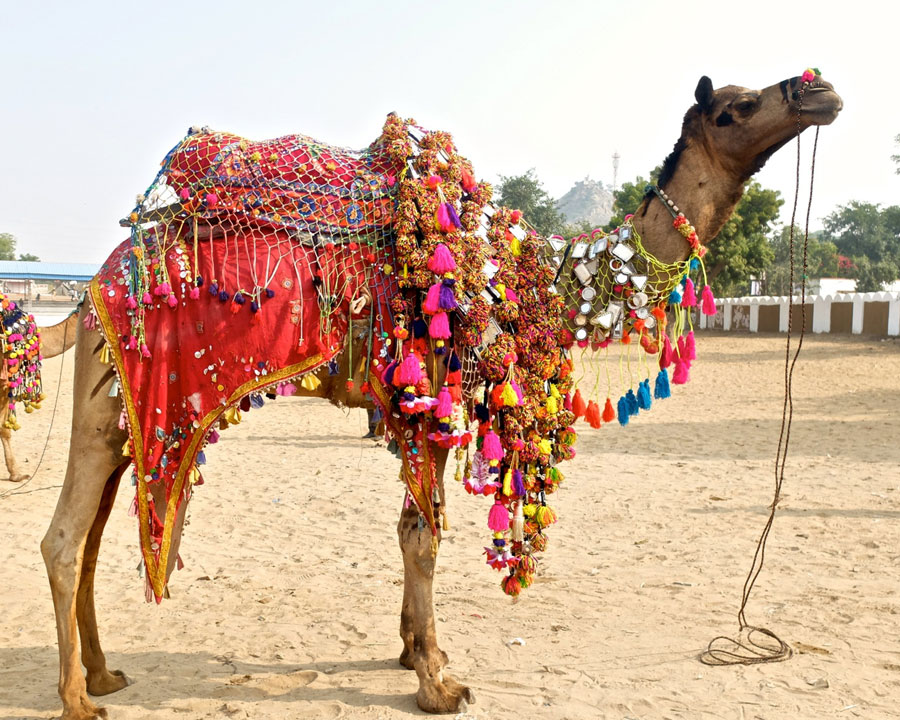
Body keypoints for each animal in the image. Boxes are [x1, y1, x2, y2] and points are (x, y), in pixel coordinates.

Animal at [40, 69, 844, 720]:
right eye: (737, 109)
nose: (820, 89)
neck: (529, 274)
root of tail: (89, 291)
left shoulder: (416, 407)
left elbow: (411, 526)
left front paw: (414, 650)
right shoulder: (426, 395)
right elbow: (421, 537)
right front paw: (436, 681)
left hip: (128, 416)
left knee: (93, 535)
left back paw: (106, 674)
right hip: (111, 402)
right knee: (63, 539)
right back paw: (78, 699)